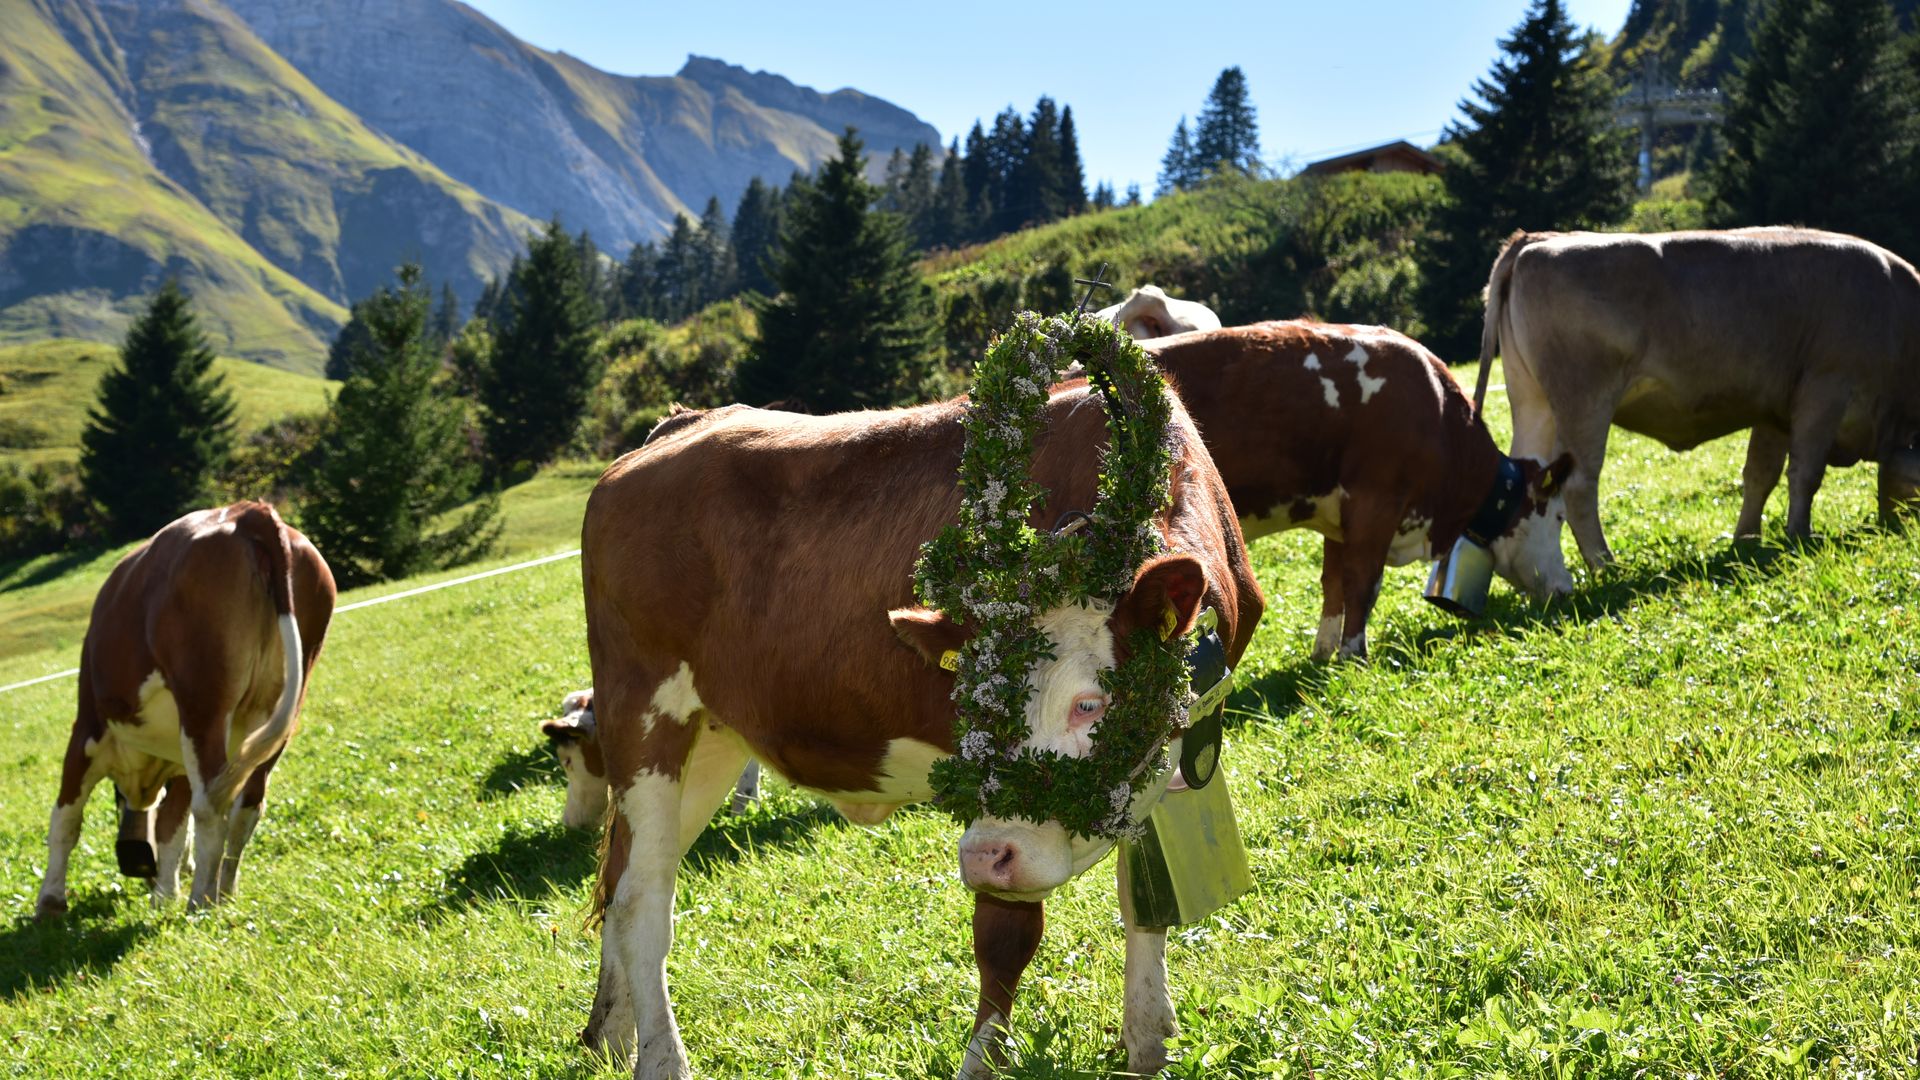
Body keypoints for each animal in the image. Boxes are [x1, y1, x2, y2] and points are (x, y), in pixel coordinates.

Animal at [33, 499, 332, 910]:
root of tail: (248, 511)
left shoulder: (86, 731)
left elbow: (66, 819)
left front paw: (50, 900)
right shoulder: (177, 767)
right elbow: (172, 827)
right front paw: (165, 892)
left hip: (203, 705)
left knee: (211, 805)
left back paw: (201, 900)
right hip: (277, 715)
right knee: (247, 804)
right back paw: (224, 890)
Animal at [572, 311, 1259, 1076]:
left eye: (1091, 704)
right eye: (973, 703)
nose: (984, 853)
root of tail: (675, 429)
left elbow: (1146, 900)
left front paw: (1146, 1038)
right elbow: (1006, 936)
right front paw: (983, 1060)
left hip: (709, 734)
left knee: (623, 878)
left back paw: (613, 1033)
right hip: (642, 712)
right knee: (641, 899)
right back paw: (660, 1057)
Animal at [1136, 319, 1574, 657]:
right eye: (1559, 517)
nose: (1566, 589)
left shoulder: (1339, 517)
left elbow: (1334, 583)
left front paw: (1325, 651)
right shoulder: (1376, 502)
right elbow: (1364, 584)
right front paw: (1353, 653)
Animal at [1474, 222, 1920, 568]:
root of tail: (1537, 239)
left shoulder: (1775, 409)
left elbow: (1760, 475)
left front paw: (1747, 541)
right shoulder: (1825, 388)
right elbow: (1805, 473)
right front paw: (1798, 536)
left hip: (1534, 404)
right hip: (1583, 401)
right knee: (1580, 483)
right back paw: (1605, 565)